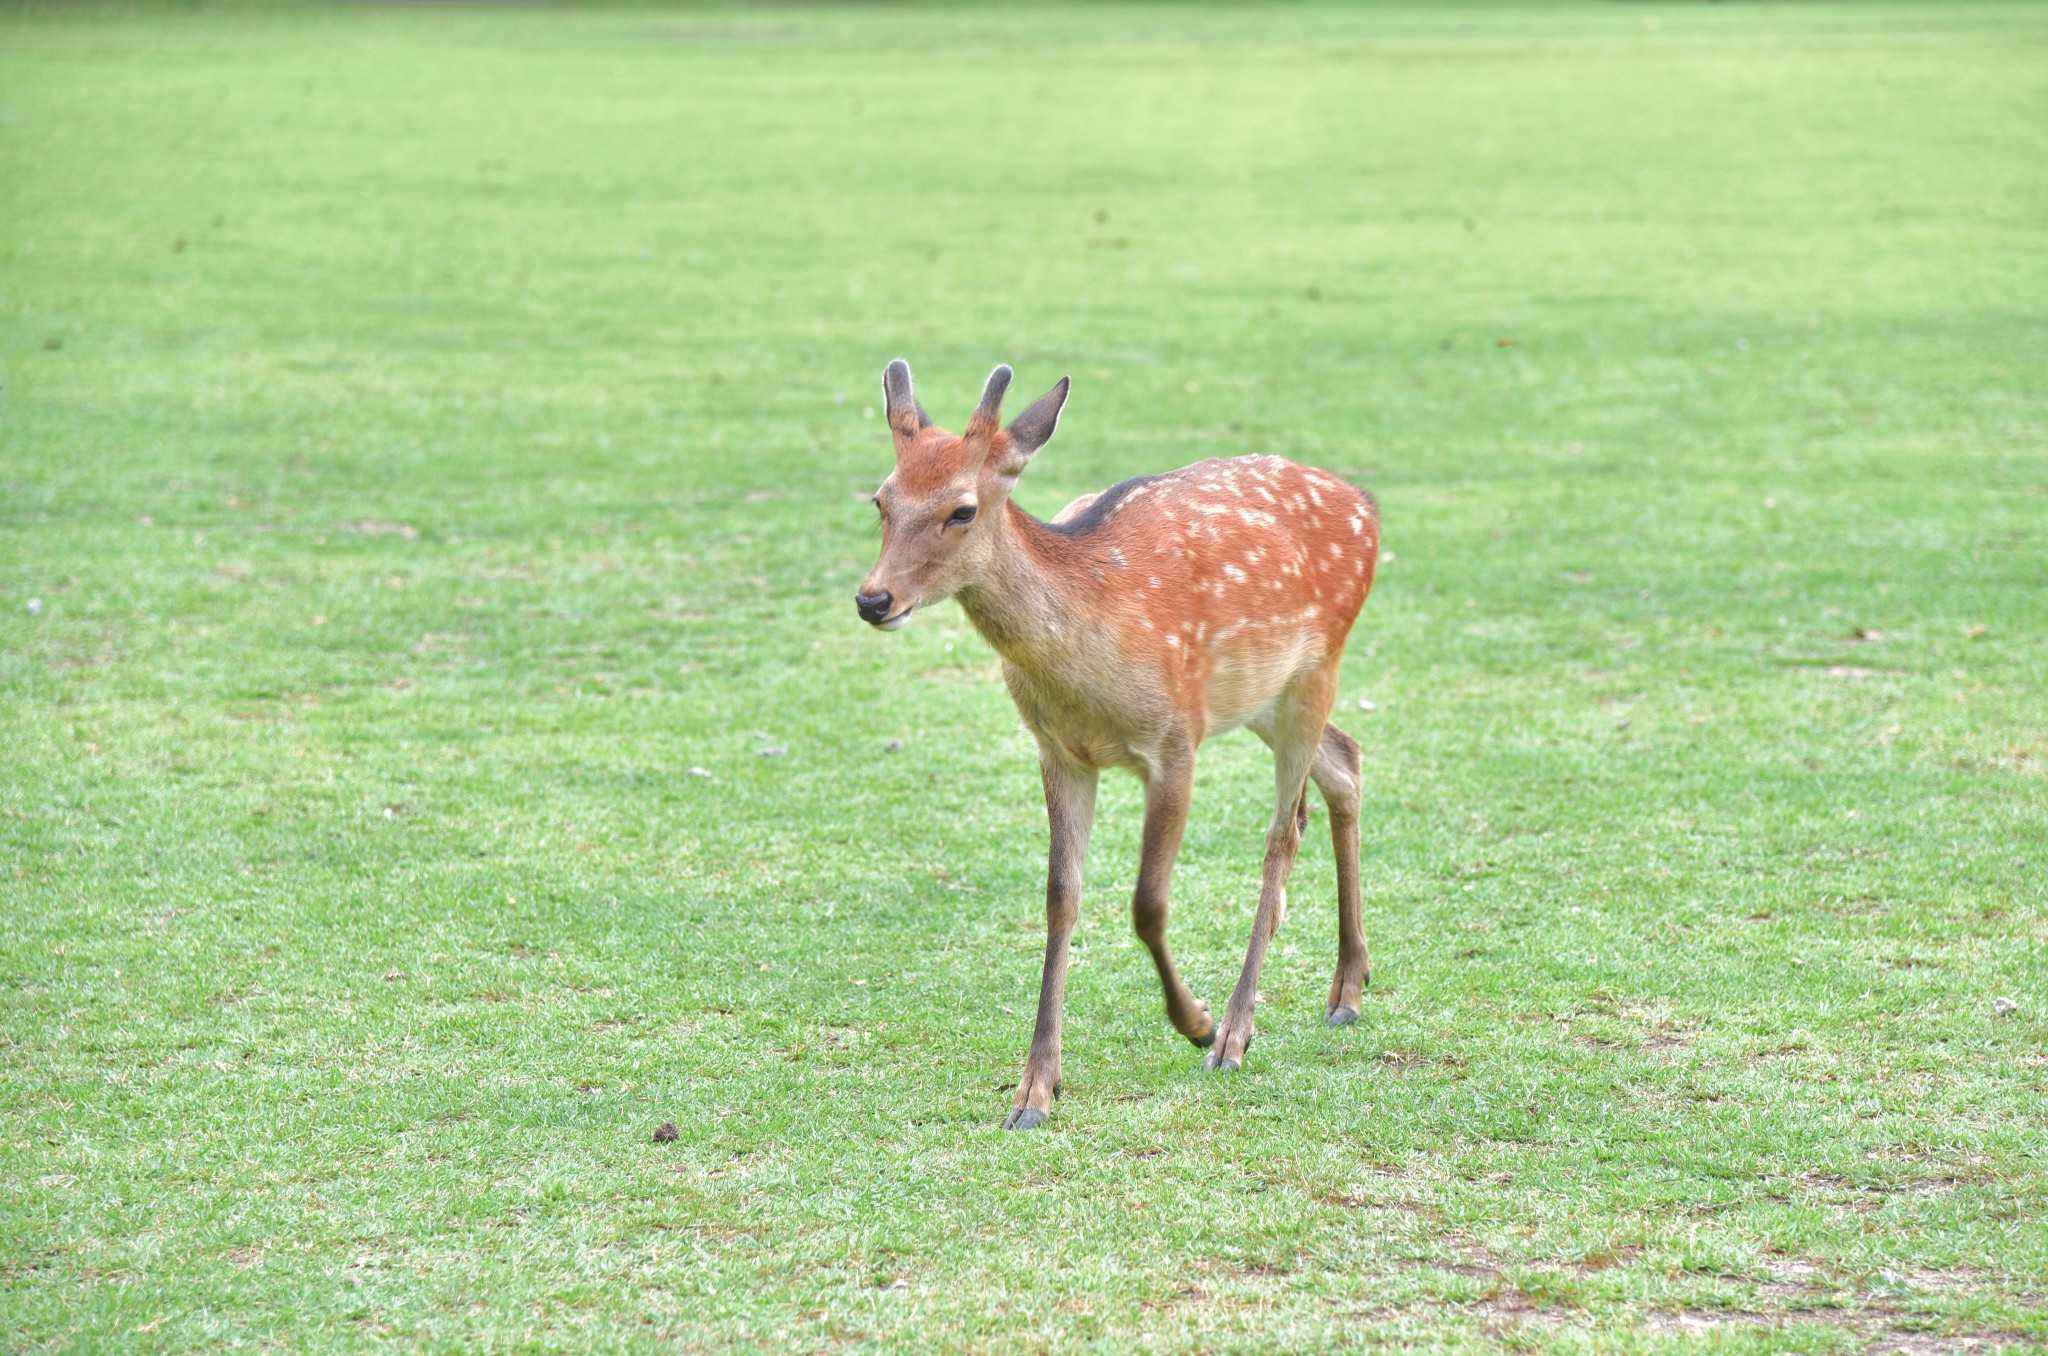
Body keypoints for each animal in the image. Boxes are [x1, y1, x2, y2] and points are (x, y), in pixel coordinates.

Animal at [856, 364, 1384, 1138]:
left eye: (962, 510)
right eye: (881, 499)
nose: (873, 599)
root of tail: (1367, 506)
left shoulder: (1174, 743)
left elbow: (1147, 902)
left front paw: (1194, 1023)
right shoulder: (1059, 751)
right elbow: (1061, 897)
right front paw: (1035, 1089)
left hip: (1318, 665)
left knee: (1285, 830)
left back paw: (1236, 1030)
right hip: (1262, 694)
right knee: (1344, 760)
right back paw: (1347, 986)